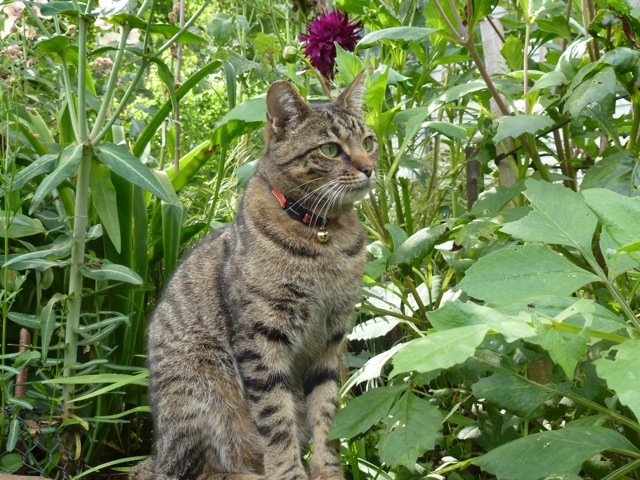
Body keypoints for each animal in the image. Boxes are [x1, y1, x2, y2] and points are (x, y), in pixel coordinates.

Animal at [132, 72, 378, 480]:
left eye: (368, 142)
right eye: (330, 149)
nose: (369, 167)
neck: (322, 234)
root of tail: (159, 451)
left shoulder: (332, 337)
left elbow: (327, 415)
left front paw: (327, 472)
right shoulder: (261, 338)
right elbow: (276, 419)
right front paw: (289, 473)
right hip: (205, 382)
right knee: (202, 469)